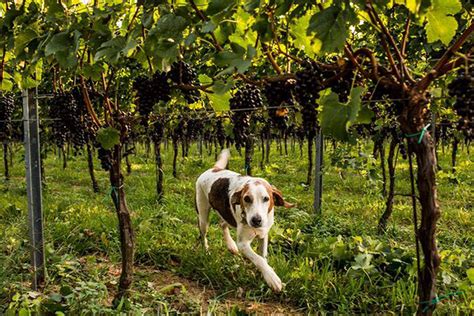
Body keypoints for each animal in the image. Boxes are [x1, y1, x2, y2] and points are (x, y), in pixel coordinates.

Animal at [195, 149, 292, 292]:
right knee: (203, 234)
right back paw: (206, 250)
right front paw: (272, 278)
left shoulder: (264, 235)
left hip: (225, 214)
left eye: (266, 199)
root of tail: (214, 169)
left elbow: (263, 256)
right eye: (246, 199)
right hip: (203, 216)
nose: (256, 220)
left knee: (222, 223)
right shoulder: (243, 244)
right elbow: (258, 259)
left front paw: (264, 274)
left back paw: (231, 245)